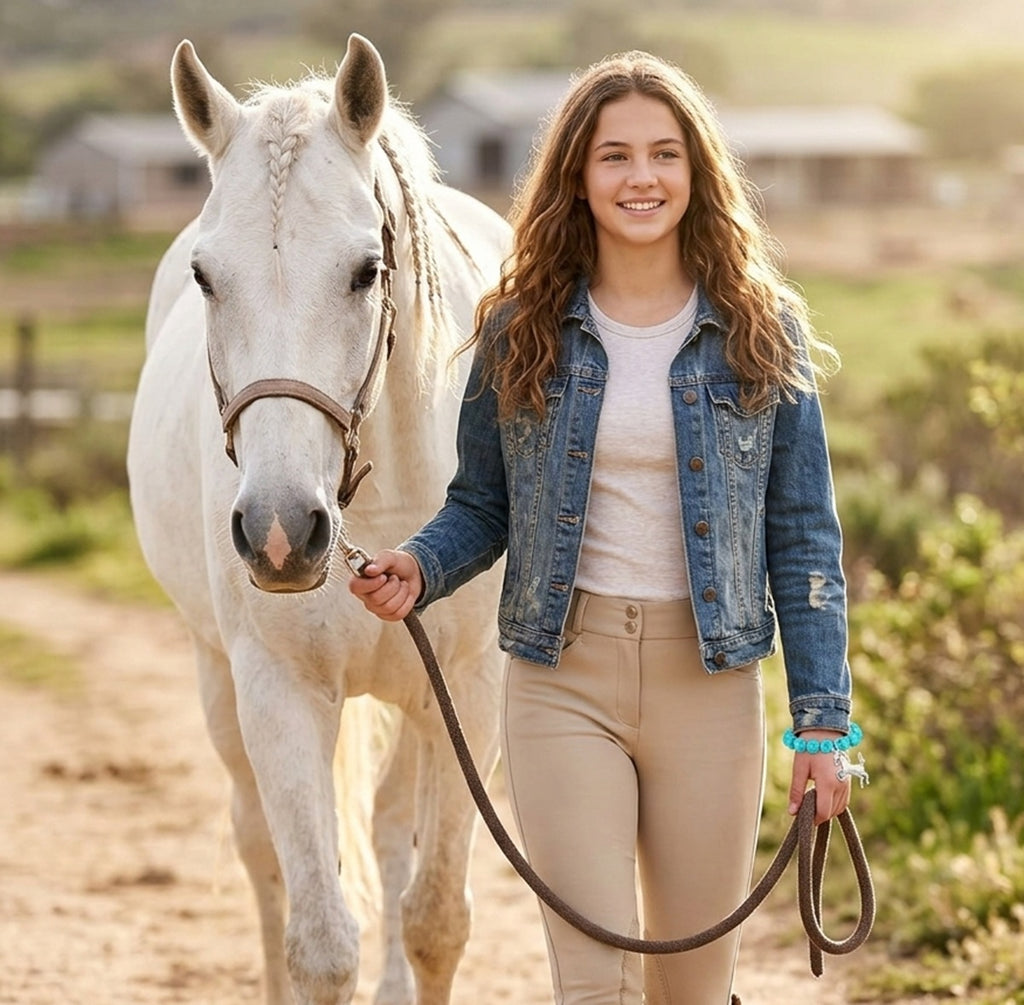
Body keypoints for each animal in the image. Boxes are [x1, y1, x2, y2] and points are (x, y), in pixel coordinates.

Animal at [127, 35, 511, 1005]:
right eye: (205, 276)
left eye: (364, 270)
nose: (278, 531)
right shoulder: (279, 691)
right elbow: (320, 942)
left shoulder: (466, 691)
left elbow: (436, 917)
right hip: (218, 680)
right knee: (259, 849)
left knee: (386, 827)